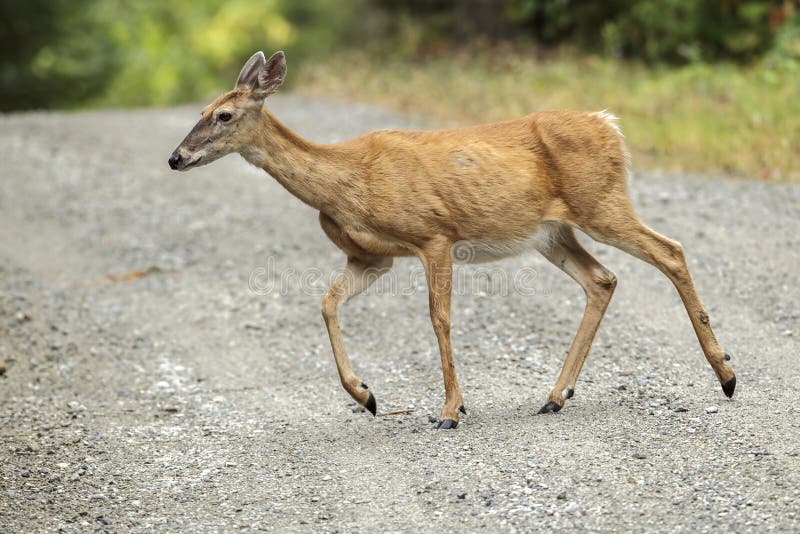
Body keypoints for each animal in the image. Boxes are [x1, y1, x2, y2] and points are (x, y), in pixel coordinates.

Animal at [169, 51, 736, 432]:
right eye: (199, 110)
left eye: (223, 115)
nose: (176, 158)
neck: (347, 181)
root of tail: (609, 124)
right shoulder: (370, 257)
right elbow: (327, 303)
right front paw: (367, 396)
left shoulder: (434, 233)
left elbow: (438, 317)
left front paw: (450, 411)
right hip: (552, 232)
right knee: (602, 279)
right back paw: (555, 395)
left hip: (600, 202)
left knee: (670, 250)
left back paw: (726, 375)